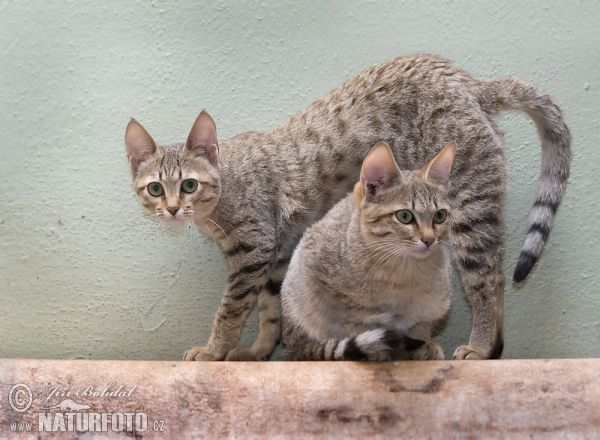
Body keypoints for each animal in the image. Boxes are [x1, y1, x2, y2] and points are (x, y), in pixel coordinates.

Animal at [282, 141, 454, 360]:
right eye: (405, 216)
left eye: (439, 216)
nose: (430, 239)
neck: (404, 271)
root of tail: (289, 345)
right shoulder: (322, 277)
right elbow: (357, 319)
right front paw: (376, 350)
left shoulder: (433, 303)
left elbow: (420, 324)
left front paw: (423, 344)